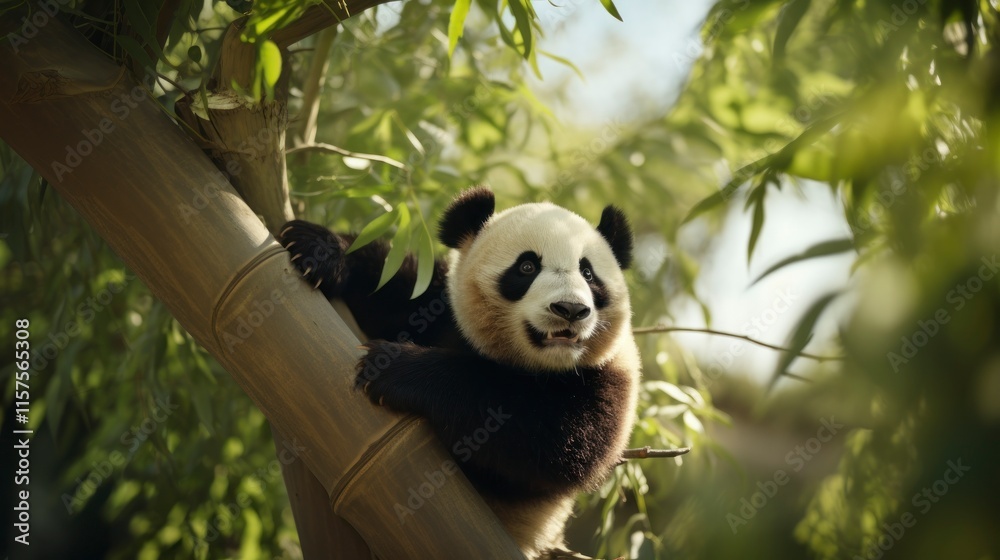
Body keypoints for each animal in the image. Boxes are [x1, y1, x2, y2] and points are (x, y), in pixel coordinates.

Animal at [279, 186, 640, 558]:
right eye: (527, 266)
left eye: (588, 274)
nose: (570, 309)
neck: (539, 364)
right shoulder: (442, 308)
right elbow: (393, 287)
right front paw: (315, 247)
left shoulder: (609, 379)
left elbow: (554, 438)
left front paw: (394, 368)